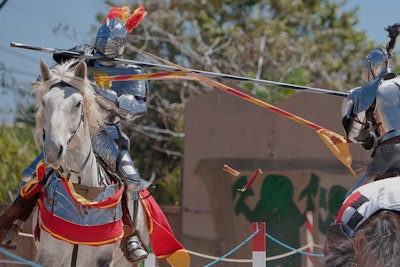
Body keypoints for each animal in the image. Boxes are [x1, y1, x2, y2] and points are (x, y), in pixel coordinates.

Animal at [31, 60, 148, 267]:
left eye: (78, 103)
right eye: (44, 102)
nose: (53, 149)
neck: (82, 189)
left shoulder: (101, 259)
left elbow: (134, 105)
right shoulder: (48, 256)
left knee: (133, 181)